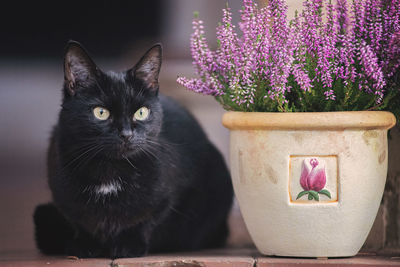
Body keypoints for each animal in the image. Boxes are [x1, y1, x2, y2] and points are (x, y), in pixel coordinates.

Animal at [34, 42, 234, 260]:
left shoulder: (166, 198)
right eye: (101, 113)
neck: (110, 170)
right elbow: (79, 222)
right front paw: (84, 245)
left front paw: (128, 246)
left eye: (141, 112)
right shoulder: (63, 196)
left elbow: (145, 220)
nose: (126, 134)